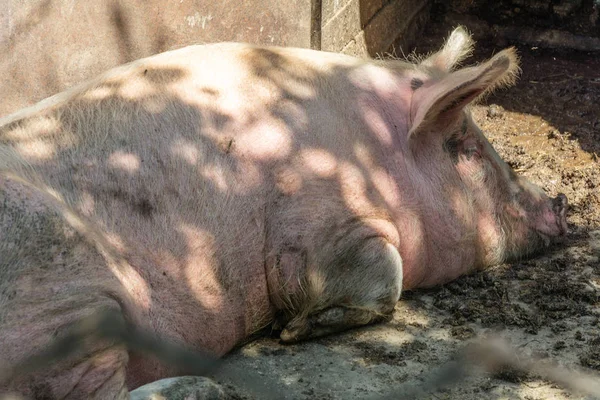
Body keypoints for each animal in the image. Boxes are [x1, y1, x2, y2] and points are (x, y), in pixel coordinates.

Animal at [0, 26, 568, 398]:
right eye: (465, 149)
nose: (560, 207)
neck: (365, 151)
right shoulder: (318, 226)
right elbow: (387, 273)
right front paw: (294, 330)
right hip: (69, 303)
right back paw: (203, 386)